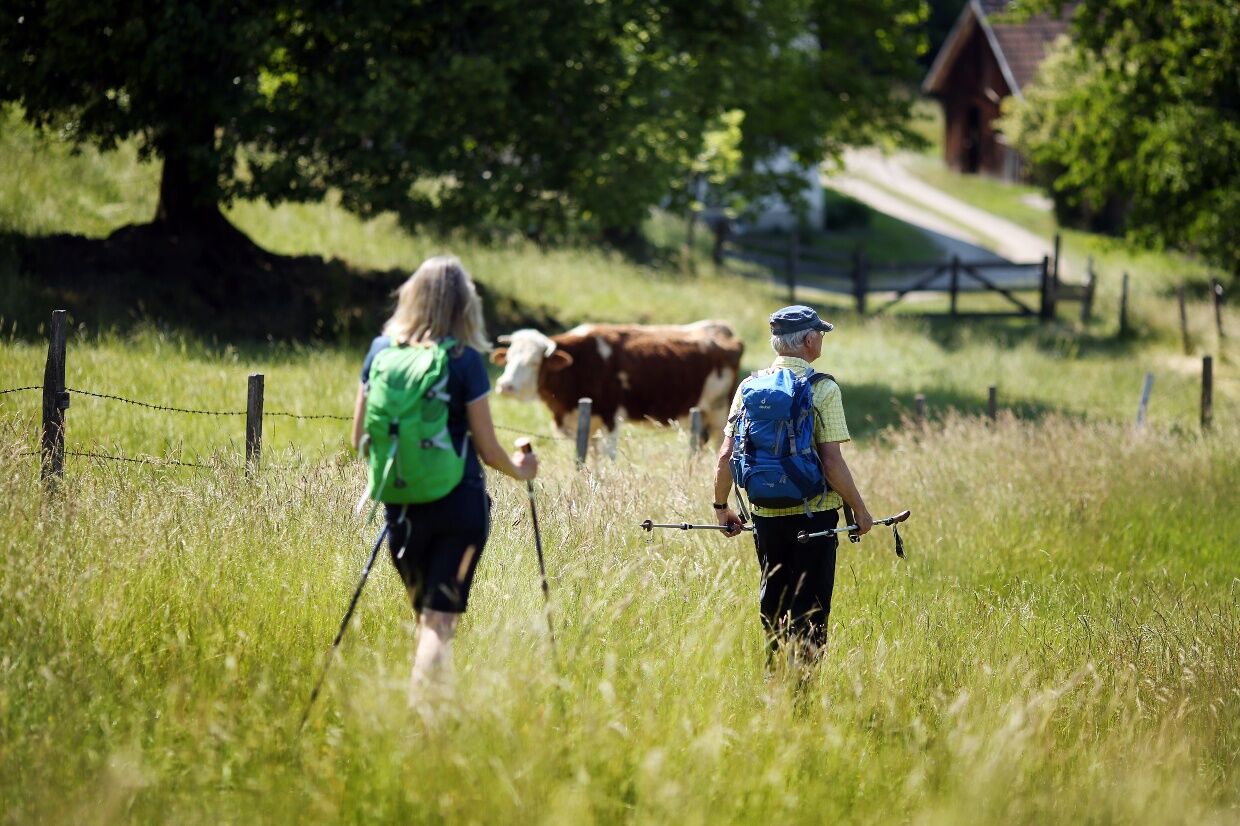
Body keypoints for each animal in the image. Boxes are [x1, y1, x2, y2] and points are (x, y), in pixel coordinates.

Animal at [490, 321, 744, 454]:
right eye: (508, 358)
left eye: (534, 362)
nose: (505, 386)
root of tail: (720, 327)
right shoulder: (586, 424)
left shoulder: (611, 419)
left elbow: (607, 457)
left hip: (720, 412)